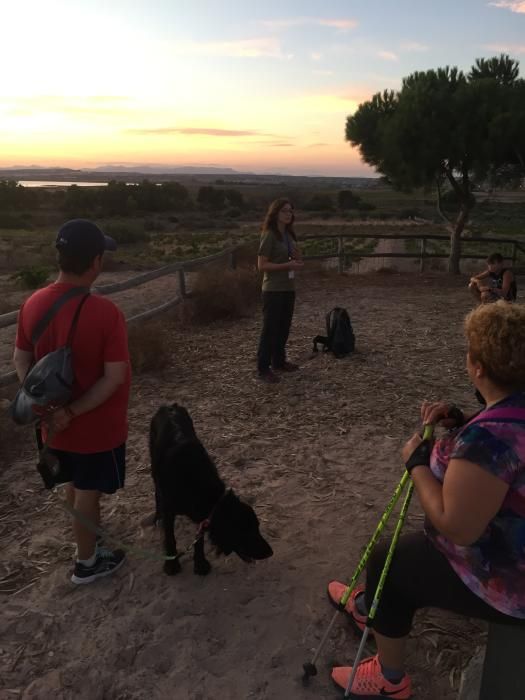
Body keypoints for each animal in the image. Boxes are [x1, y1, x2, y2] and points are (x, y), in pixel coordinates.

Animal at [149, 402, 272, 576]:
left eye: (257, 527)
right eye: (246, 531)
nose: (270, 552)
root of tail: (169, 405)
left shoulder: (201, 516)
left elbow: (198, 540)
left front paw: (200, 564)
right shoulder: (169, 511)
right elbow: (170, 537)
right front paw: (171, 565)